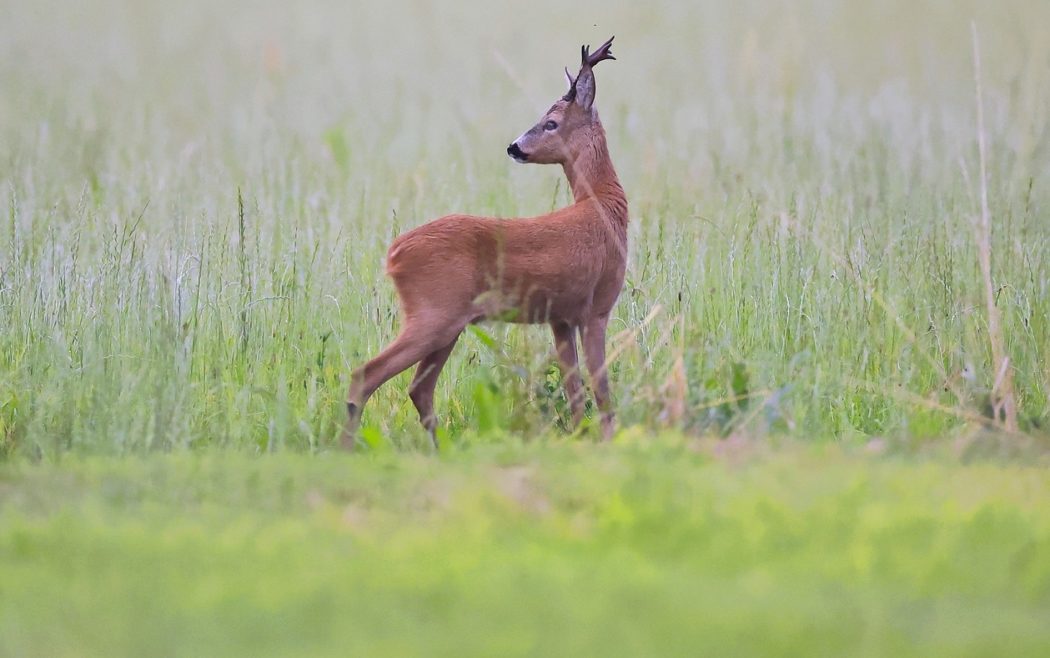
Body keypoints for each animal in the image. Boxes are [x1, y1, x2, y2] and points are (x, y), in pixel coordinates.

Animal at [343, 36, 627, 449]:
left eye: (551, 122)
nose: (514, 147)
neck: (603, 207)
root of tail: (393, 255)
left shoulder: (560, 316)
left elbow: (575, 389)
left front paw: (580, 438)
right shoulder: (598, 306)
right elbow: (601, 388)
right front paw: (607, 441)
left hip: (449, 323)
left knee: (419, 388)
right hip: (434, 313)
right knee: (367, 374)